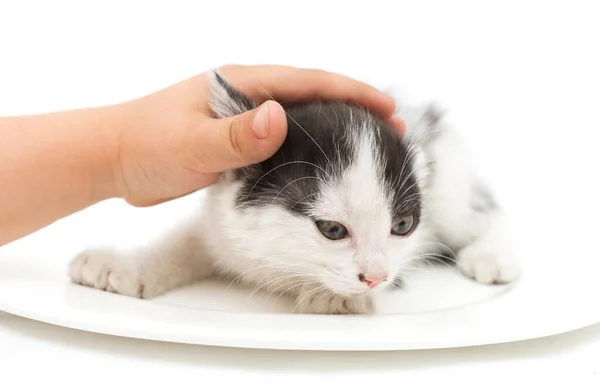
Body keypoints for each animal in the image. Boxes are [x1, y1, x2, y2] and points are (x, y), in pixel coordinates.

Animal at [68, 69, 520, 316]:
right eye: (332, 230)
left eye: (403, 226)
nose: (376, 277)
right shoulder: (222, 216)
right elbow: (189, 240)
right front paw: (124, 266)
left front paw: (332, 297)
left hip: (451, 183)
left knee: (486, 212)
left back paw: (492, 255)